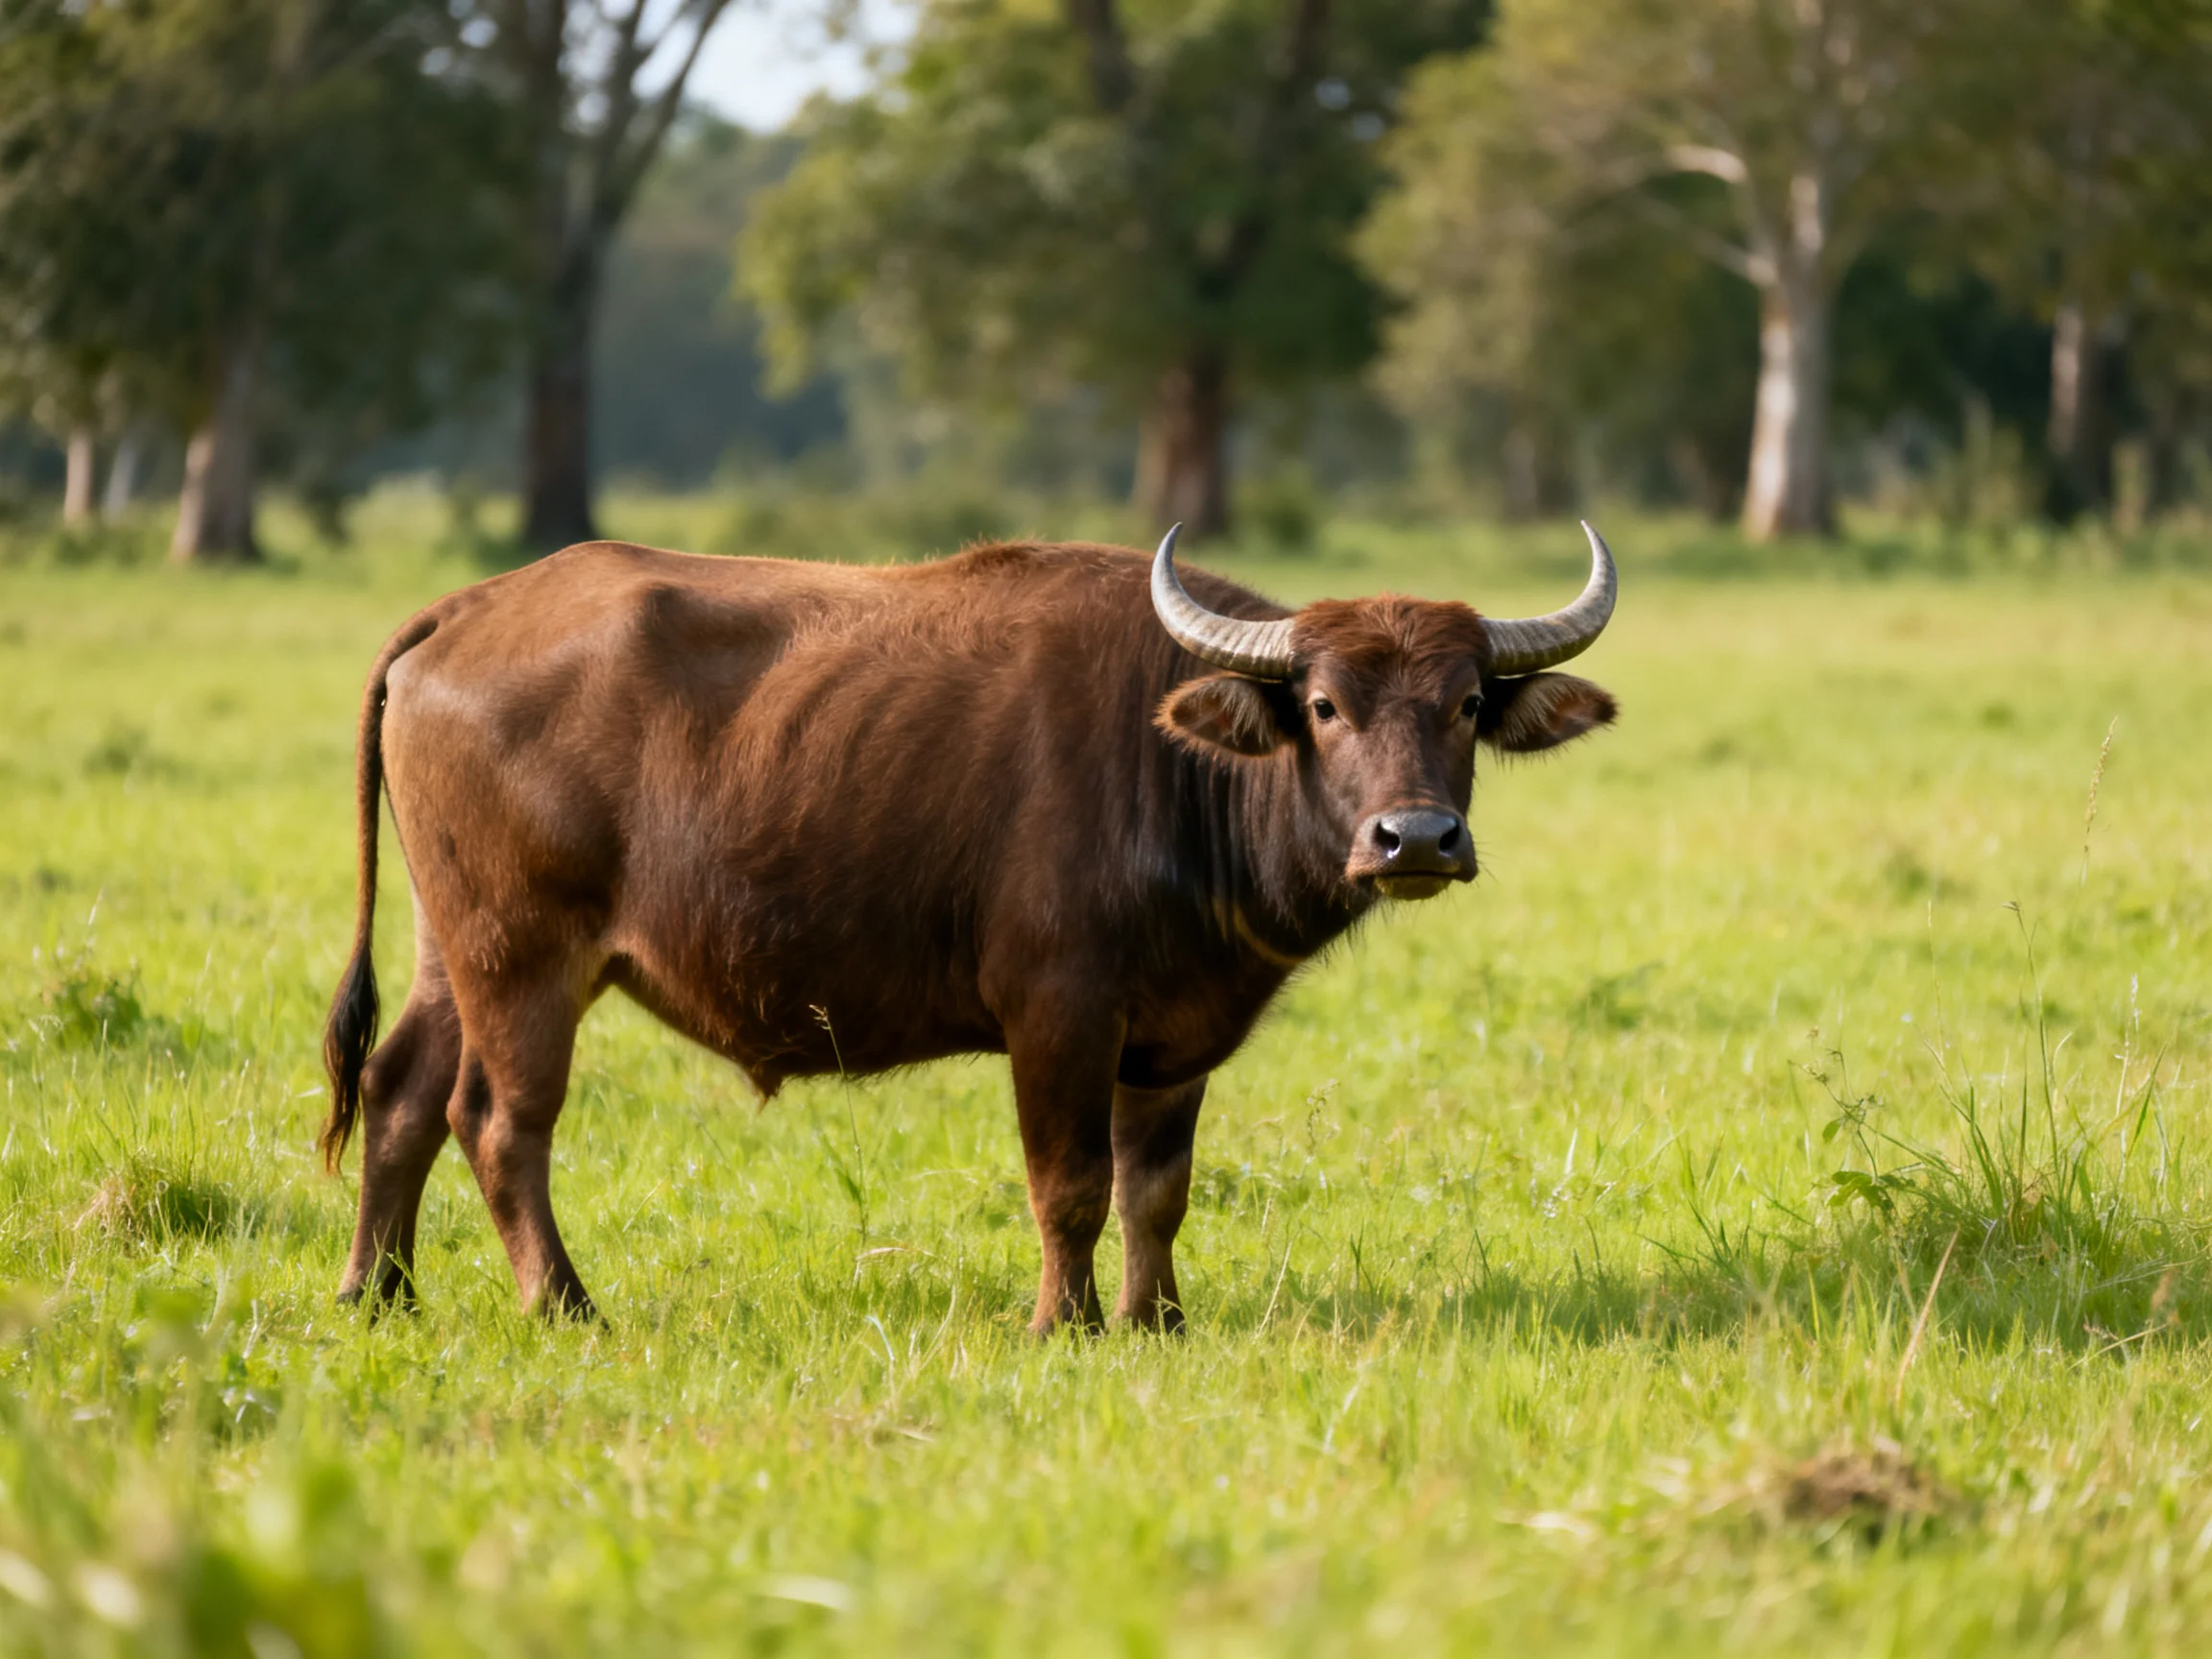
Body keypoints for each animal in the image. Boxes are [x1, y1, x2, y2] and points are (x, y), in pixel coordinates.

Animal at [323, 524, 1618, 1331]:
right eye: (1325, 705)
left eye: (1465, 702)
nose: (1415, 839)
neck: (1175, 766)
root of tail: (465, 612)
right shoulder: (1056, 1013)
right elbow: (1071, 1183)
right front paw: (1066, 1324)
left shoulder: (1172, 1035)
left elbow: (1158, 1188)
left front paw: (1159, 1321)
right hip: (524, 954)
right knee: (500, 1123)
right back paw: (564, 1304)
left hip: (450, 946)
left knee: (399, 1093)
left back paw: (376, 1292)